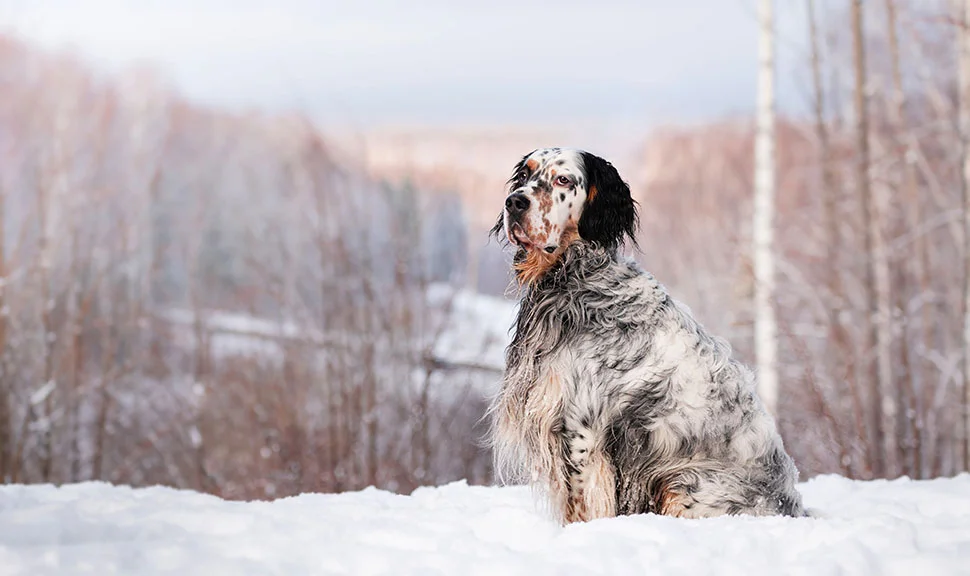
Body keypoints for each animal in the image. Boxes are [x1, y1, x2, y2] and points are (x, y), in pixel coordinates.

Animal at [492, 146, 800, 524]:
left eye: (563, 180)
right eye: (524, 175)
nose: (514, 202)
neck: (577, 277)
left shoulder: (580, 430)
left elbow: (581, 507)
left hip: (685, 483)